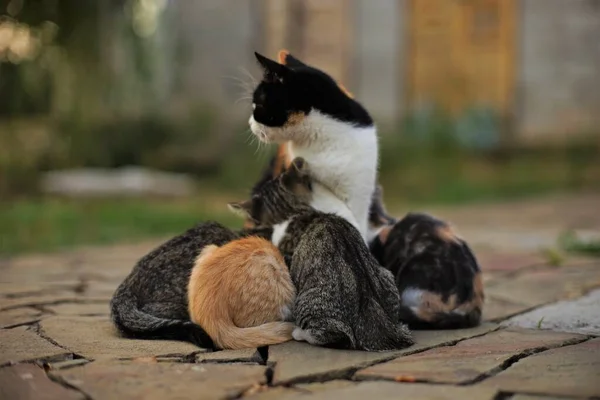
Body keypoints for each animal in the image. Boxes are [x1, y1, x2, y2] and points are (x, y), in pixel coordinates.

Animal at [227, 158, 414, 352]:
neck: (295, 213)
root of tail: (380, 329)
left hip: (307, 301)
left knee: (336, 336)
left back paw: (300, 332)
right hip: (387, 277)